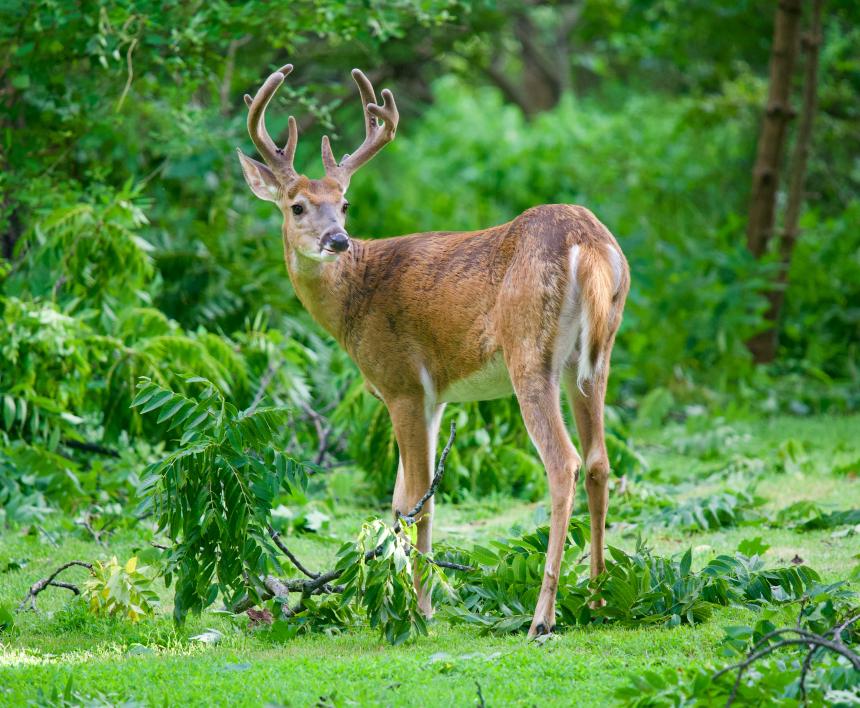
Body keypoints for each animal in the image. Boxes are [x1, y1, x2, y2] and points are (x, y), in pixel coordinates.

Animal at [239, 63, 628, 636]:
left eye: (345, 204)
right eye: (298, 206)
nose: (338, 240)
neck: (356, 298)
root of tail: (591, 245)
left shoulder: (401, 382)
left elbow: (417, 499)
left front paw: (420, 609)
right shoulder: (435, 396)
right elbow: (409, 499)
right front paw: (407, 600)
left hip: (529, 353)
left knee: (565, 464)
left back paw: (542, 617)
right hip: (594, 356)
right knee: (600, 461)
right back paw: (599, 597)